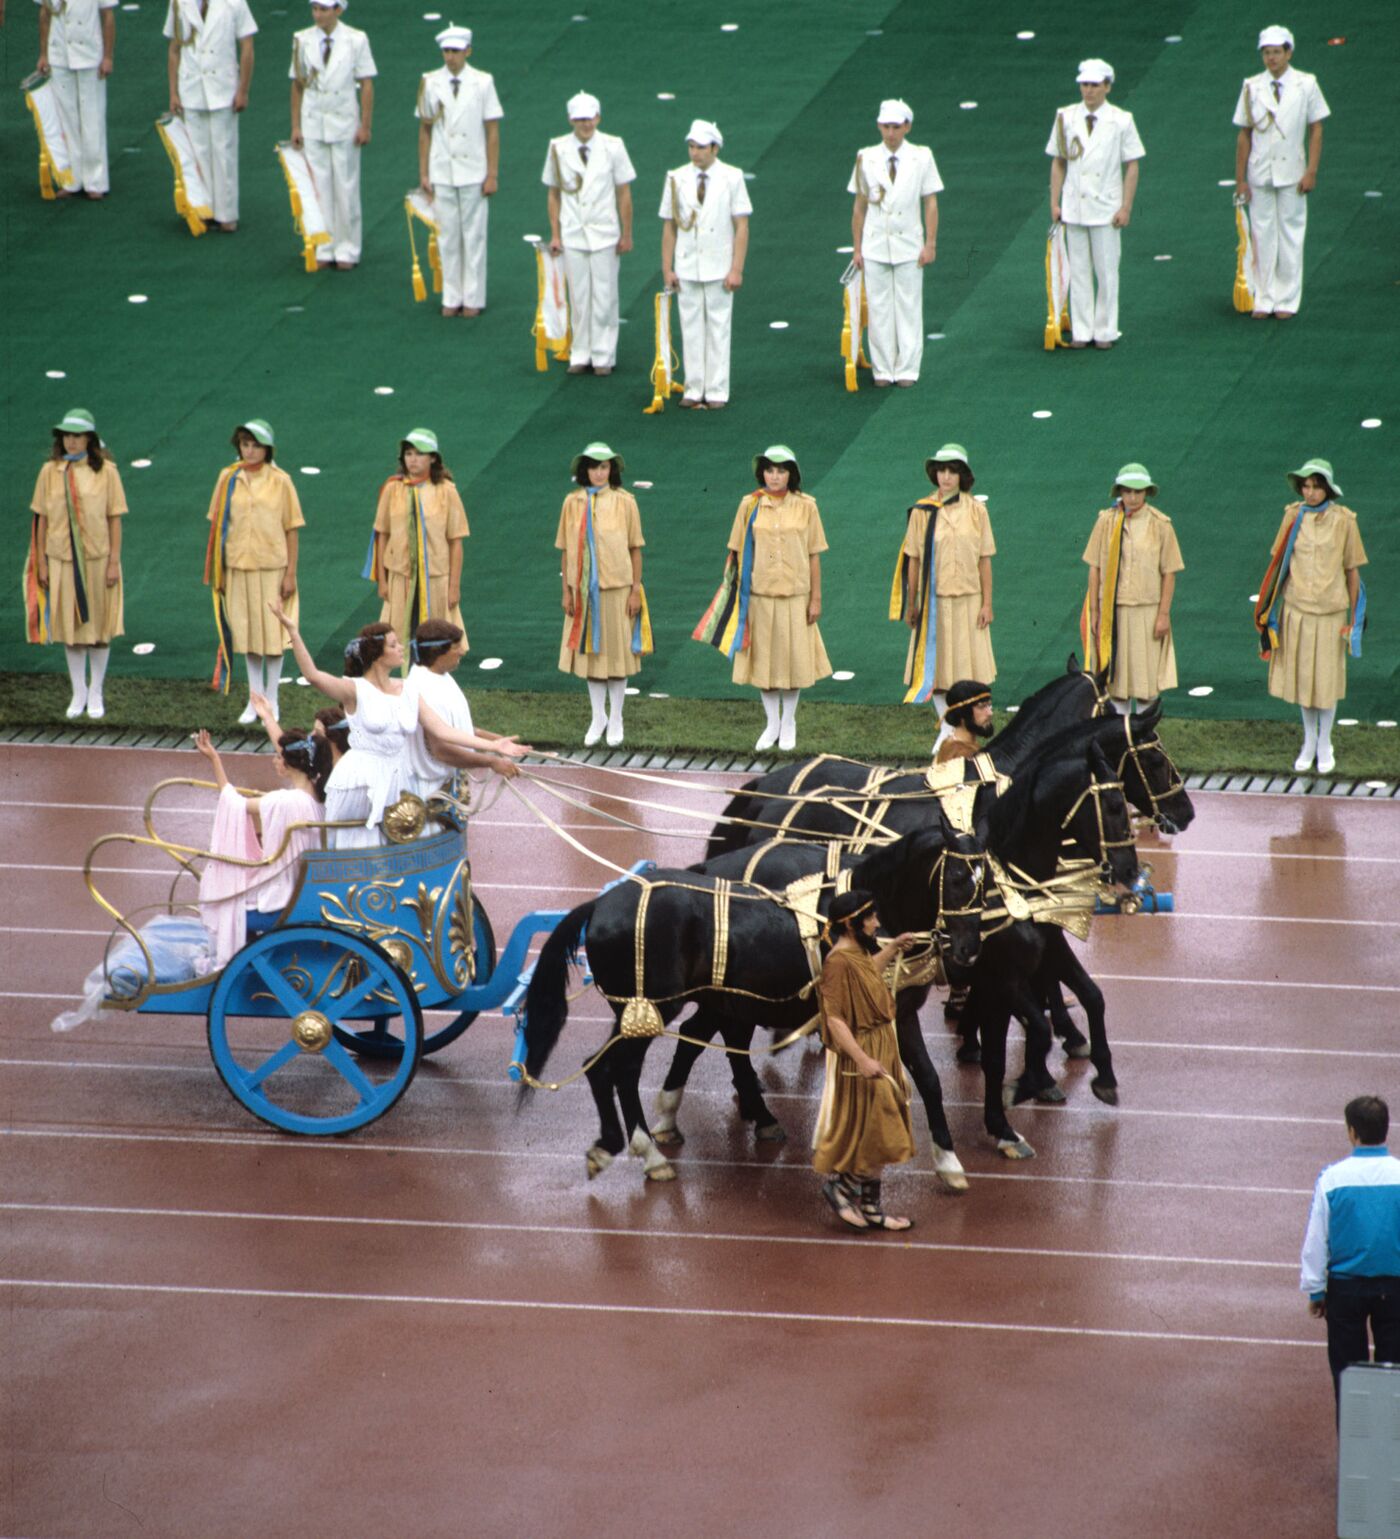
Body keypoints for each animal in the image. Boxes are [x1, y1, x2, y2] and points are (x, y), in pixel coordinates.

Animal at [523, 824, 984, 1181]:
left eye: (987, 882)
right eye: (957, 878)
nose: (968, 949)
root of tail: (599, 904)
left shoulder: (898, 1013)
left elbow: (928, 1079)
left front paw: (948, 1160)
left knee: (615, 1065)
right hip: (648, 1010)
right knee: (616, 1070)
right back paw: (646, 1152)